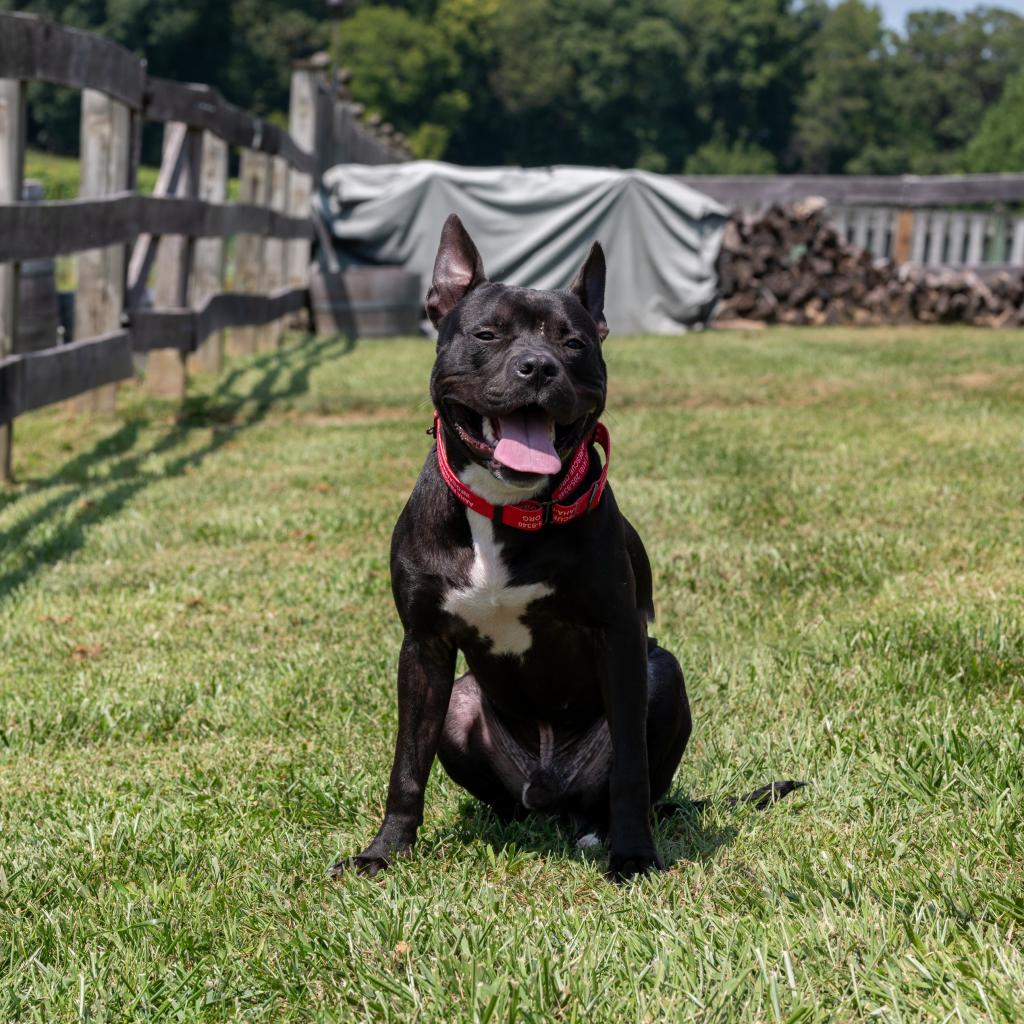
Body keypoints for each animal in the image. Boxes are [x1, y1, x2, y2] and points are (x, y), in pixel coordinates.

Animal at [335, 214, 798, 880]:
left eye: (574, 343)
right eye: (487, 333)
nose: (538, 367)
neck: (507, 508)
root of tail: (549, 790)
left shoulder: (618, 637)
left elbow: (630, 768)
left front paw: (634, 855)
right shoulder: (422, 646)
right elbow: (406, 765)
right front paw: (385, 851)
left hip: (662, 672)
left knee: (624, 787)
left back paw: (603, 831)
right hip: (463, 703)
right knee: (504, 794)